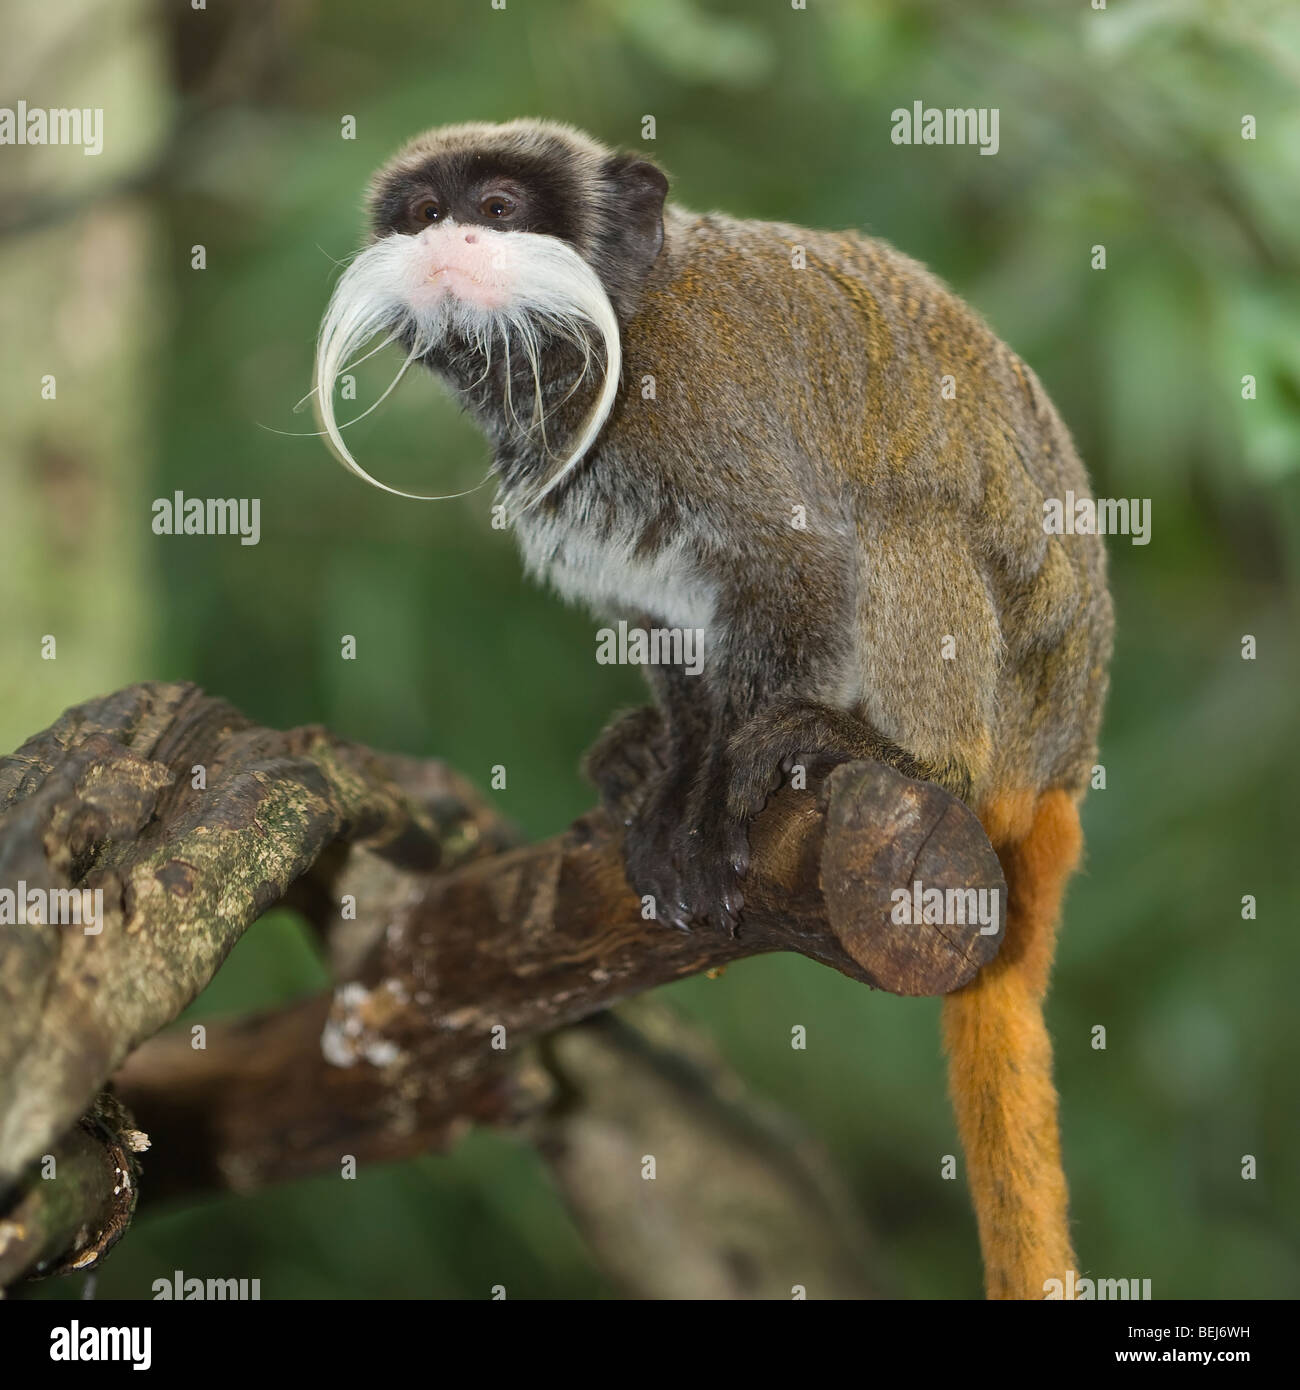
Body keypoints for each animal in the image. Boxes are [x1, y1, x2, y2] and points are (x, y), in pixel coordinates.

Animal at [315, 119, 1117, 1301]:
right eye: (423, 215)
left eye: (499, 210)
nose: (449, 240)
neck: (603, 339)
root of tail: (1064, 763)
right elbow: (663, 621)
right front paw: (675, 760)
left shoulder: (704, 408)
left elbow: (801, 568)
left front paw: (703, 800)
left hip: (1015, 710)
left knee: (904, 524)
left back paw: (903, 757)